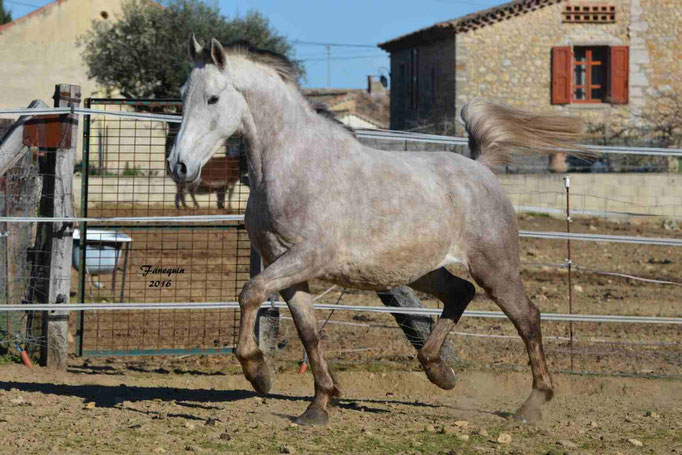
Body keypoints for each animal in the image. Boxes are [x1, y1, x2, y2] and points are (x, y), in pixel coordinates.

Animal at [169, 35, 580, 428]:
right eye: (182, 95)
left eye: (213, 98)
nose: (179, 165)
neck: (294, 164)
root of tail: (481, 167)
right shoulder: (285, 267)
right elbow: (308, 332)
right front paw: (318, 405)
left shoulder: (307, 257)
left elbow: (250, 292)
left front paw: (258, 373)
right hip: (422, 270)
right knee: (461, 293)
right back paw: (440, 371)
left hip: (494, 266)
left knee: (527, 317)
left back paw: (532, 404)